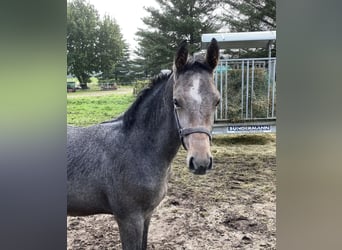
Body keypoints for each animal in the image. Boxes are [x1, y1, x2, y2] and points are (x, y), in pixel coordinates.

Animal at [67, 39, 219, 250]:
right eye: (176, 101)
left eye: (217, 101)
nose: (201, 162)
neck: (137, 147)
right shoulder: (129, 219)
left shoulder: (146, 215)